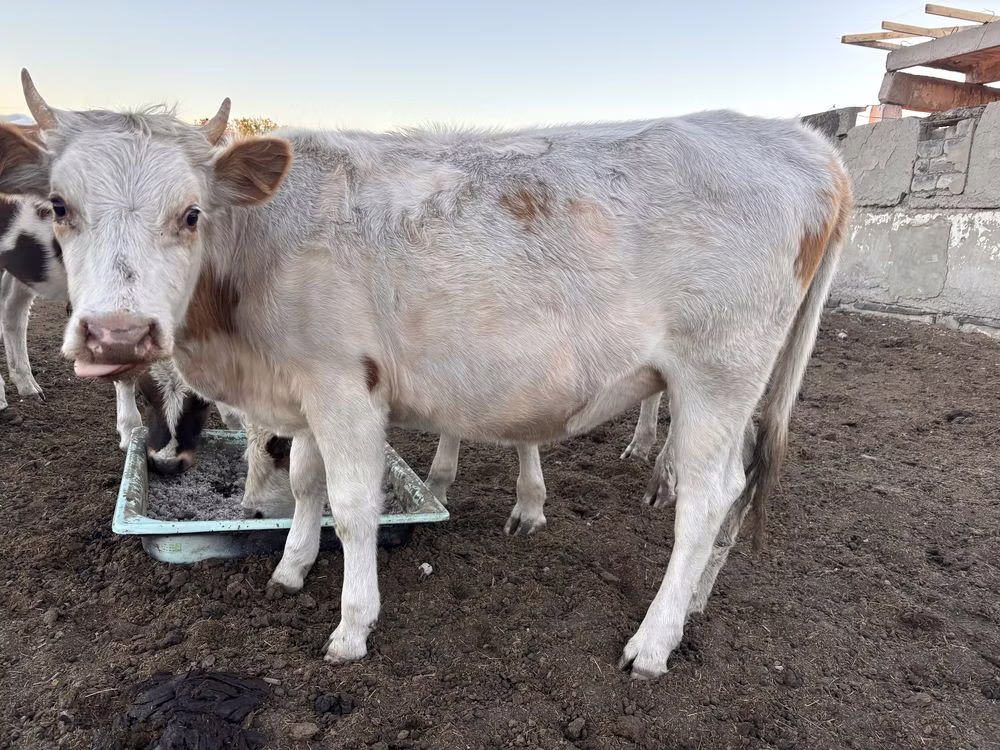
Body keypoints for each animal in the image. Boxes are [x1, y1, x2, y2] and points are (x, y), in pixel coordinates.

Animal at [0, 70, 850, 679]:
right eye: (60, 206)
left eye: (190, 213)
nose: (117, 333)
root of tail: (805, 144)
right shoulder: (306, 390)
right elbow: (305, 484)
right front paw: (291, 568)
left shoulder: (345, 386)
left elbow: (352, 505)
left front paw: (351, 625)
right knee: (741, 489)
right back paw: (699, 600)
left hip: (716, 376)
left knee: (707, 501)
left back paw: (654, 640)